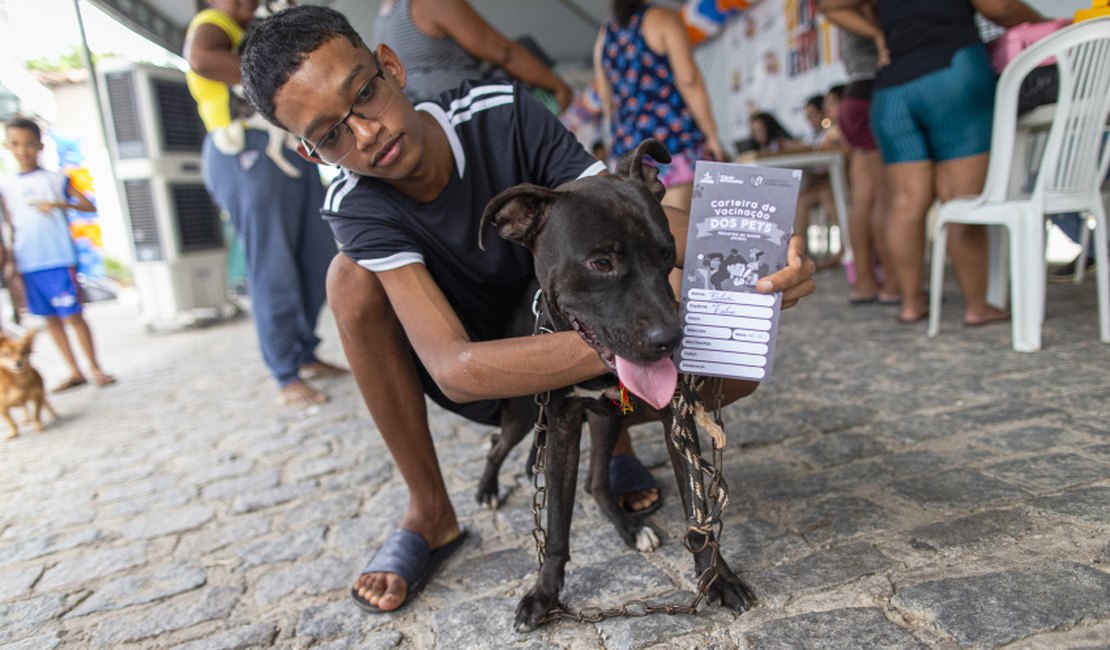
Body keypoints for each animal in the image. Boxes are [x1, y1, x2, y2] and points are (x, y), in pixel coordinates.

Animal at [477, 140, 754, 625]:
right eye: (601, 262)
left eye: (666, 253)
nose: (672, 339)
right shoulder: (561, 423)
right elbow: (556, 523)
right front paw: (544, 593)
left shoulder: (675, 418)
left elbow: (698, 510)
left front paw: (717, 577)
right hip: (523, 410)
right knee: (499, 443)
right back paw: (488, 488)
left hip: (607, 420)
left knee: (595, 482)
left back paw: (630, 527)